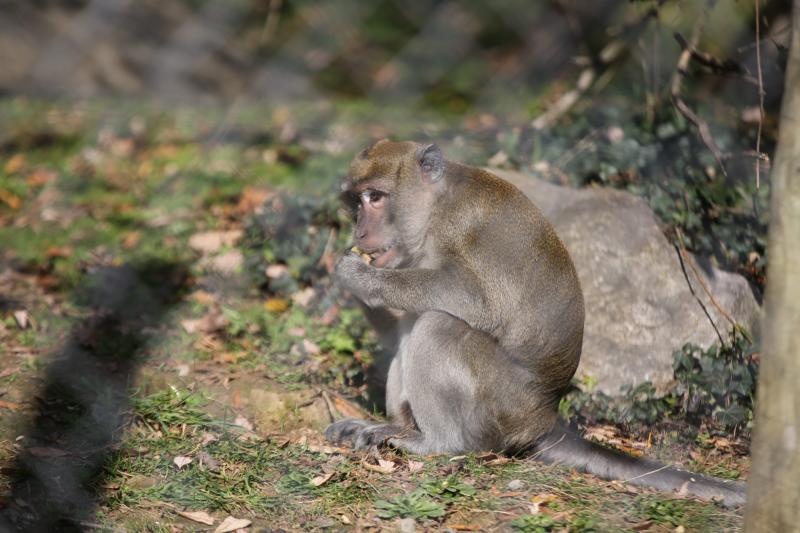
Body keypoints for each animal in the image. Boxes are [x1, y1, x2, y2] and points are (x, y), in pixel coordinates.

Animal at [324, 139, 744, 504]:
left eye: (376, 197)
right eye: (356, 201)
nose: (360, 230)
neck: (435, 208)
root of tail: (544, 418)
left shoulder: (457, 226)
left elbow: (476, 301)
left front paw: (359, 278)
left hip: (500, 407)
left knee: (435, 324)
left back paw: (434, 441)